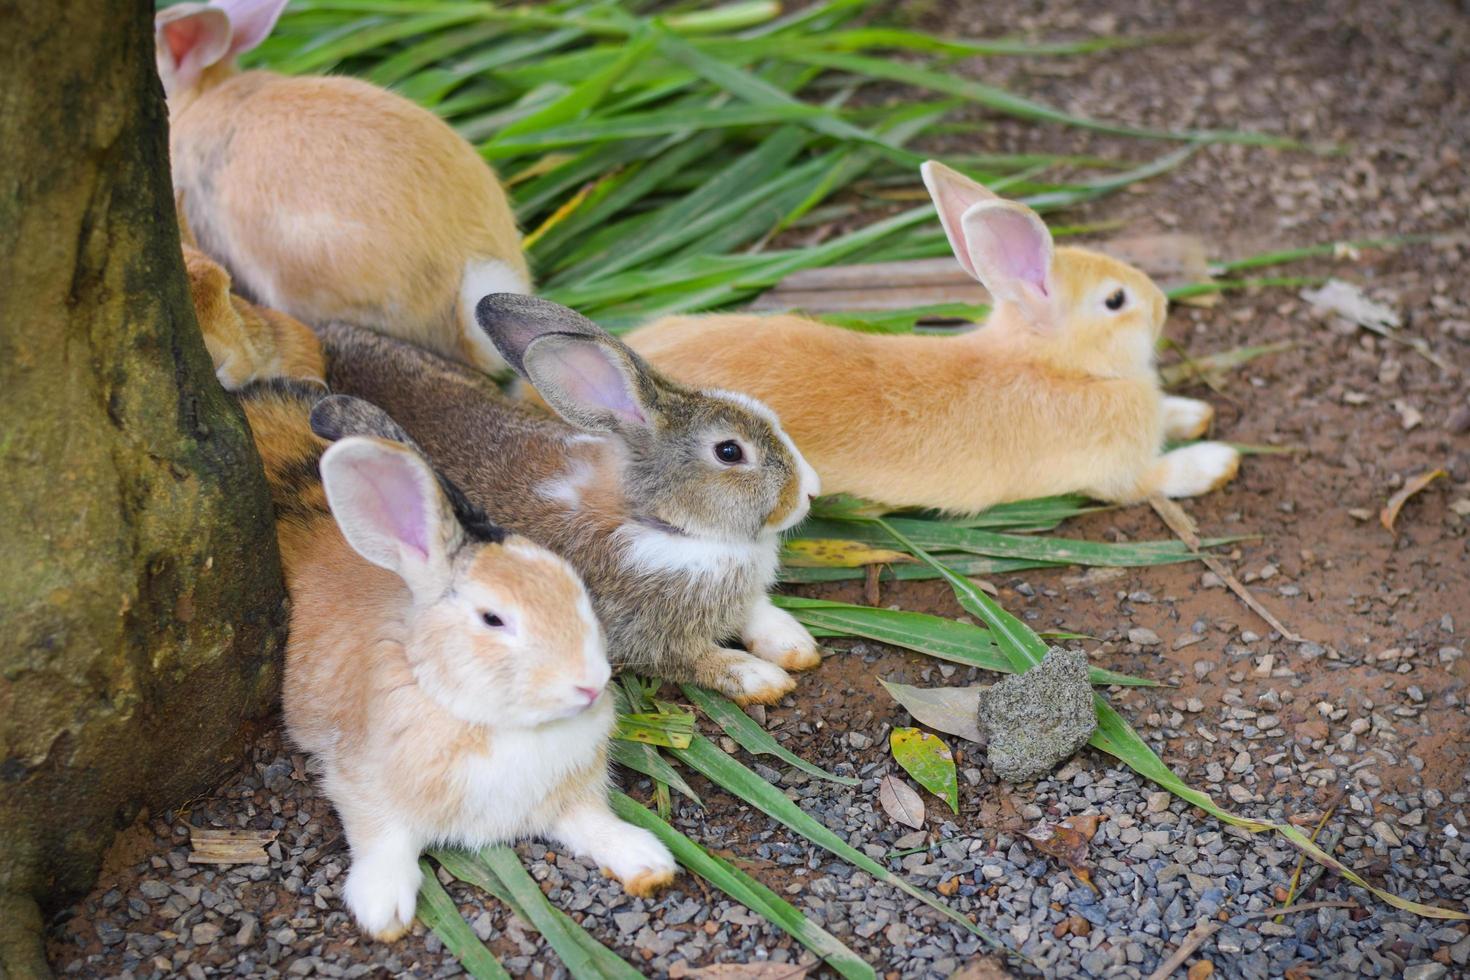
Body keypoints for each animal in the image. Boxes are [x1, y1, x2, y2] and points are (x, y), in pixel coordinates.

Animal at [179, 246, 676, 940]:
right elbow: (381, 841)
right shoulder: (362, 788)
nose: (589, 685)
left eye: (574, 587)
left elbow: (595, 825)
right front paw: (383, 911)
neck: (485, 719)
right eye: (493, 619)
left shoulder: (571, 799)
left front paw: (648, 863)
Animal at [620, 160, 1240, 514]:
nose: (1162, 305)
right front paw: (1219, 461)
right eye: (1116, 301)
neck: (1054, 365)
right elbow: (1158, 478)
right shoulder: (1118, 474)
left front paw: (1193, 412)